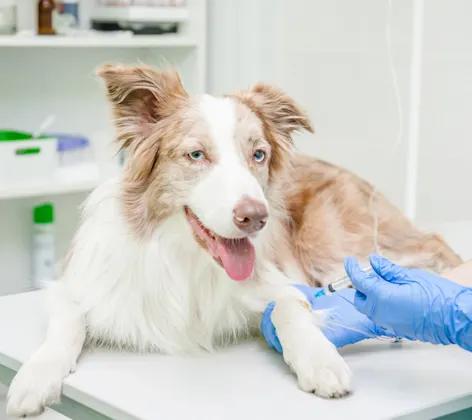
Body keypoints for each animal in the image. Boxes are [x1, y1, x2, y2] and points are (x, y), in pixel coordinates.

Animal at [4, 64, 460, 416]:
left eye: (258, 155)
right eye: (196, 155)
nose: (255, 217)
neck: (188, 259)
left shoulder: (279, 281)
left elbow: (289, 307)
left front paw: (320, 361)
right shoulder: (77, 285)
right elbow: (67, 324)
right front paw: (34, 379)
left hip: (332, 243)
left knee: (434, 248)